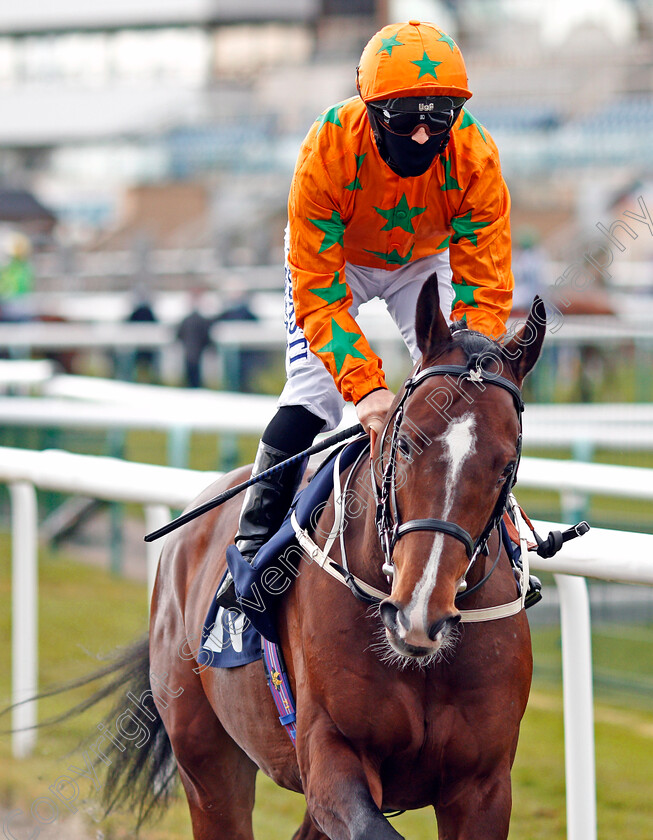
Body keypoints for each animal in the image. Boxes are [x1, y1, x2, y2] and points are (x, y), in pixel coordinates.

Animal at [26, 278, 544, 840]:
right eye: (406, 443)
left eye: (506, 466)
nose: (419, 613)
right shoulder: (331, 756)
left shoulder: (483, 785)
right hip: (204, 755)